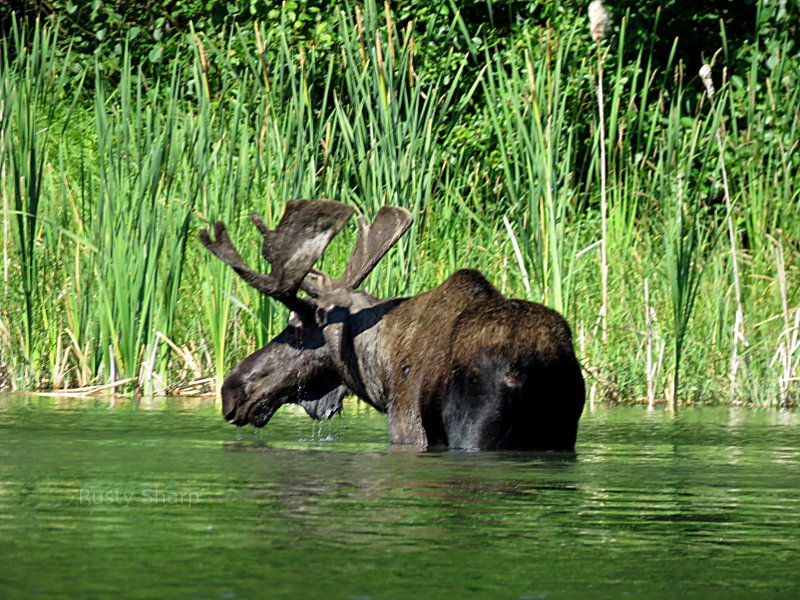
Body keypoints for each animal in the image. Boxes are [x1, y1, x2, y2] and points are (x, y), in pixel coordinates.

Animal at [200, 199, 584, 452]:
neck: (377, 373)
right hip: (562, 430)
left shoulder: (407, 427)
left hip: (475, 431)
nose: (231, 390)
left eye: (294, 328)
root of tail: (536, 361)